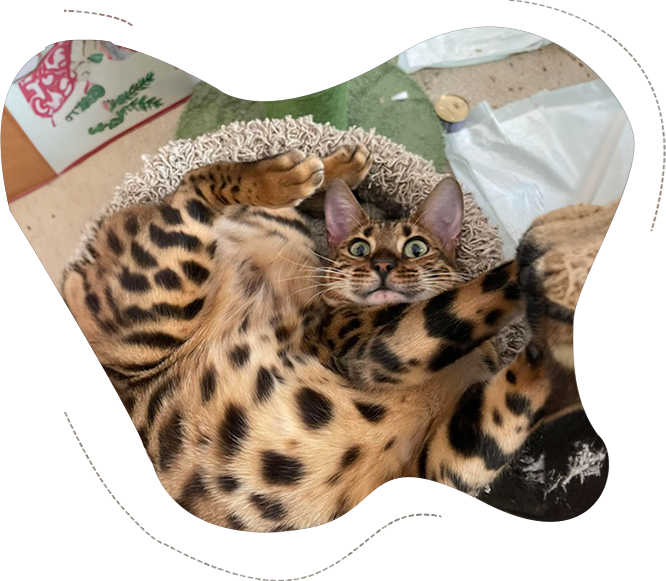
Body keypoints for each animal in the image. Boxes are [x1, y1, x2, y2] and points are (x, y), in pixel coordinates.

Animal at [62, 145, 612, 532]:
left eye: (416, 247)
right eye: (360, 248)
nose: (383, 266)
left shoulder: (449, 459)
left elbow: (518, 390)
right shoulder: (371, 351)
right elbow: (483, 288)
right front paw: (571, 243)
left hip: (271, 244)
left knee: (207, 198)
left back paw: (335, 168)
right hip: (163, 297)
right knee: (191, 189)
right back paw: (289, 173)